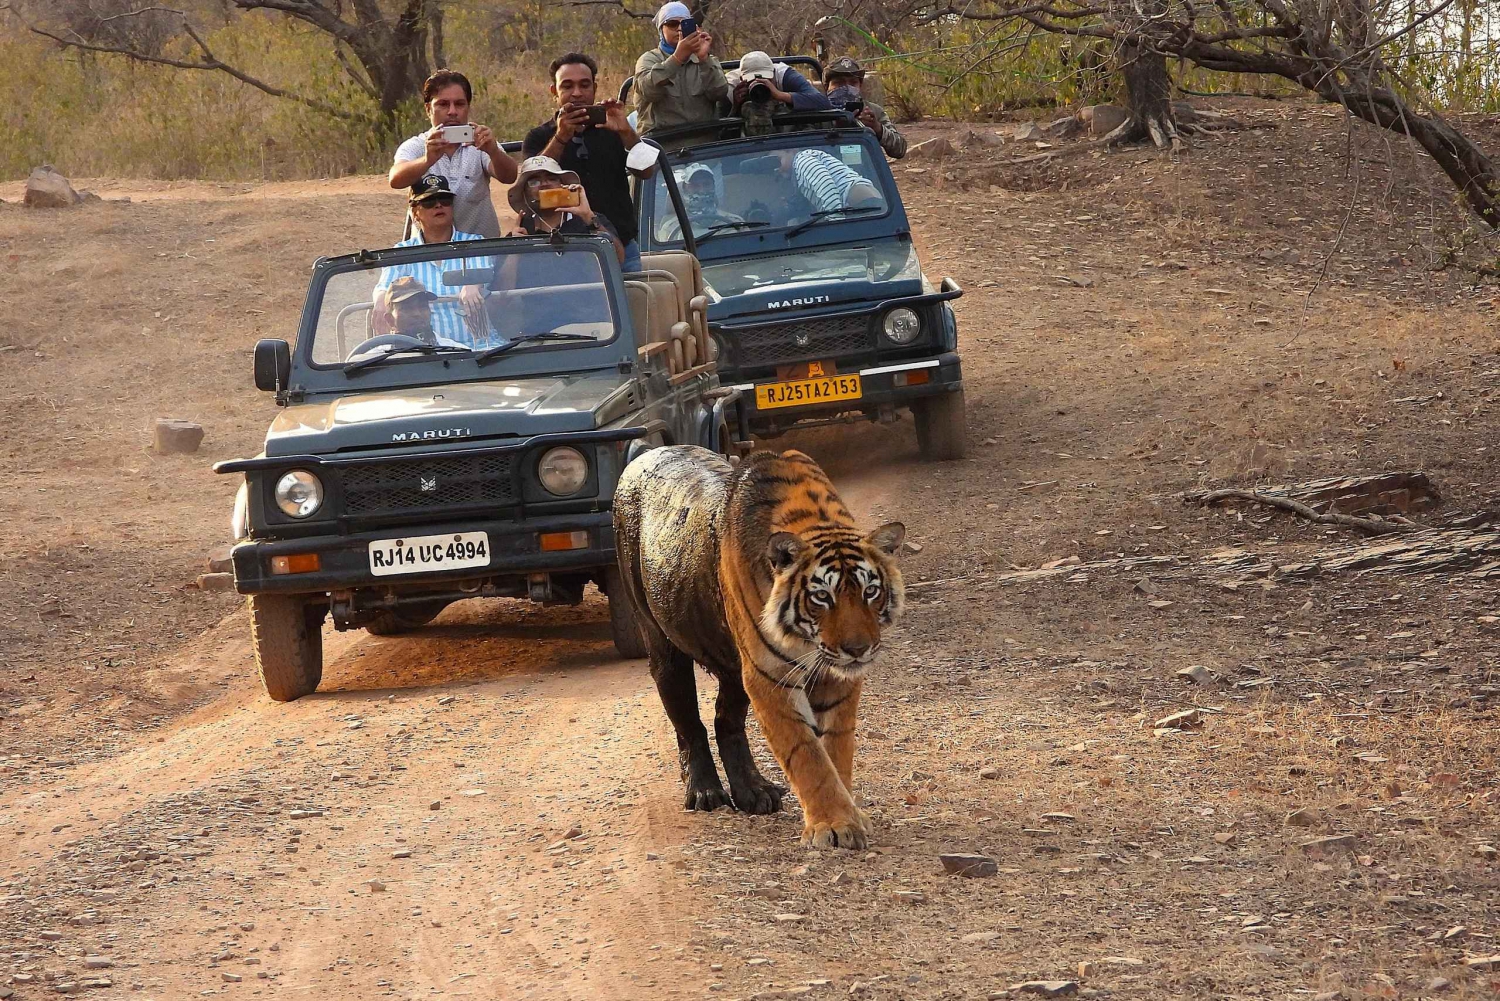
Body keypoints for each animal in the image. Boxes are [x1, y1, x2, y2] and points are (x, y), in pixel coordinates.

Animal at [612, 445, 905, 849]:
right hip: (663, 646)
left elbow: (836, 750)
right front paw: (832, 824)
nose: (858, 650)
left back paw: (755, 792)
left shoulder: (836, 679)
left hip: (733, 670)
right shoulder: (770, 677)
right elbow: (808, 755)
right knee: (688, 723)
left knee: (726, 720)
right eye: (822, 597)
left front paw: (848, 816)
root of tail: (646, 451)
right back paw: (705, 793)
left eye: (870, 591)